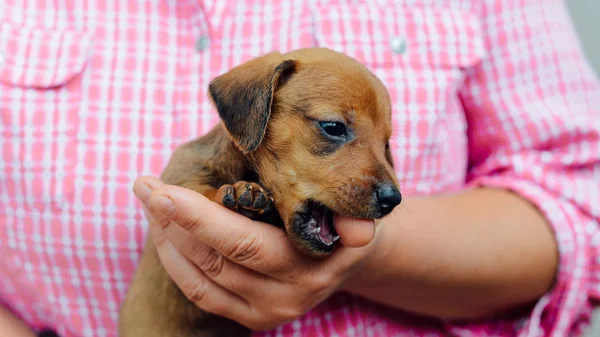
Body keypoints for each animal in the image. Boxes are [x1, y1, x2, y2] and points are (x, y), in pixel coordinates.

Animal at [118, 48, 400, 336]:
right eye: (333, 127)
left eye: (386, 144)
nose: (393, 199)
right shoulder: (182, 174)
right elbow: (202, 191)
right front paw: (242, 194)